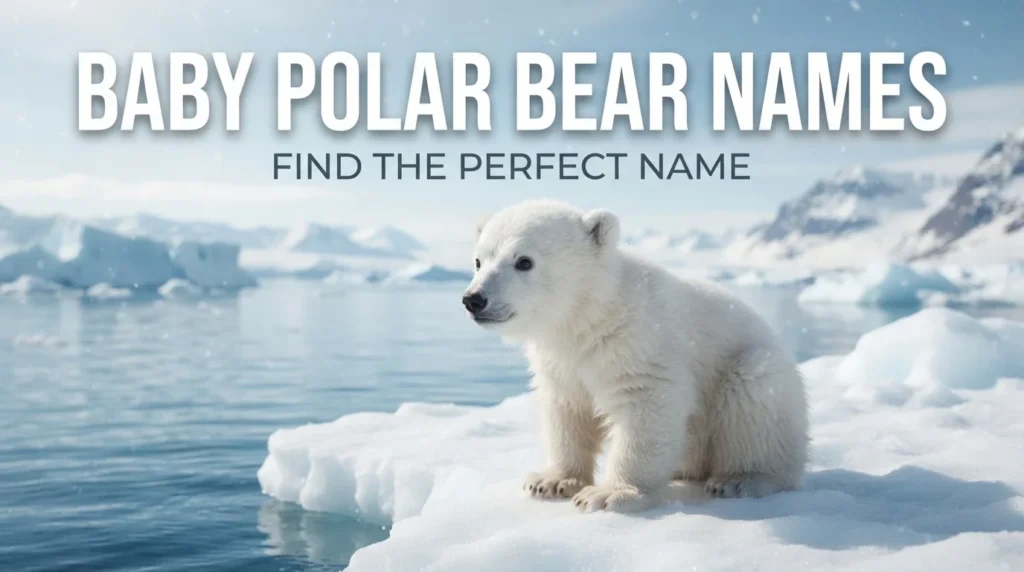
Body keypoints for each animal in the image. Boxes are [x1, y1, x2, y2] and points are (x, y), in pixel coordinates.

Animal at [462, 199, 809, 513]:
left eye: (524, 261)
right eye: (479, 260)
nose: (474, 299)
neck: (589, 315)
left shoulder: (638, 341)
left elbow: (645, 407)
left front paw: (608, 494)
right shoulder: (560, 360)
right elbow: (567, 410)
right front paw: (551, 481)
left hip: (754, 370)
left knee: (753, 402)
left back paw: (740, 479)